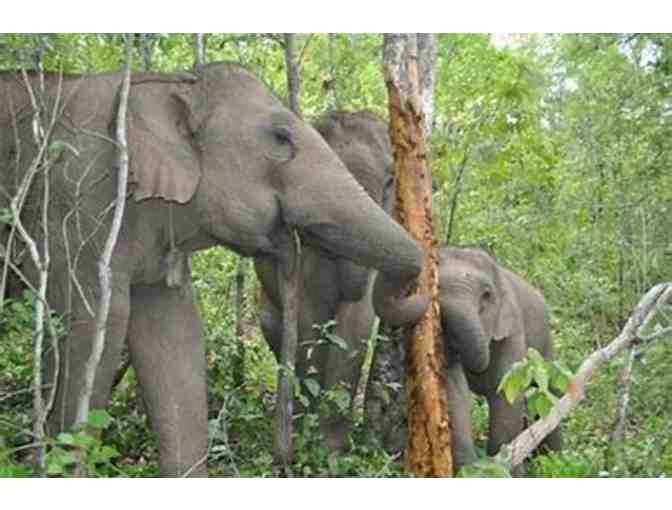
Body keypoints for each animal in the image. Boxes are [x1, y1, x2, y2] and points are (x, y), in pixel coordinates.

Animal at [254, 110, 395, 451]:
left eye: (390, 182)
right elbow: (310, 319)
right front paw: (305, 435)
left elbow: (356, 324)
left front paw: (333, 447)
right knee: (274, 326)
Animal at [437, 247, 562, 470]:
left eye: (486, 295)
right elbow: (453, 388)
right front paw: (469, 469)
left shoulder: (512, 332)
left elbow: (504, 394)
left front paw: (499, 468)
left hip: (546, 349)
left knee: (550, 394)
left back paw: (554, 461)